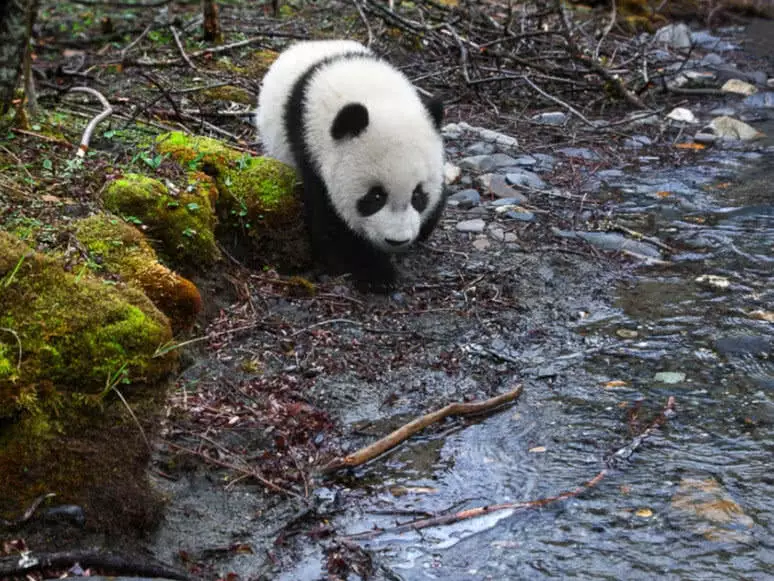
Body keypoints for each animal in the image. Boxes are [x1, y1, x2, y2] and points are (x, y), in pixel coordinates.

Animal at [258, 39, 446, 290]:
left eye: (418, 195)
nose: (397, 240)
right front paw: (379, 274)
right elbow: (332, 227)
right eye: (375, 196)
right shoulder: (311, 152)